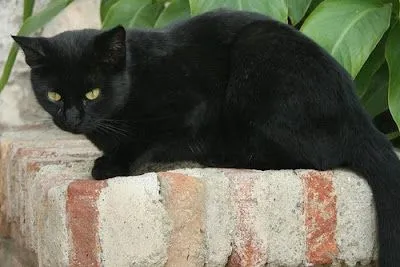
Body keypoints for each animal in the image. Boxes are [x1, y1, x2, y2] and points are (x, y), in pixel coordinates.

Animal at [12, 9, 400, 266]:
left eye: (92, 93)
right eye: (54, 95)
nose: (71, 118)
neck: (134, 75)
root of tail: (358, 112)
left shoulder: (193, 106)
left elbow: (149, 137)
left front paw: (112, 164)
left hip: (257, 61)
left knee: (315, 156)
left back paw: (225, 157)